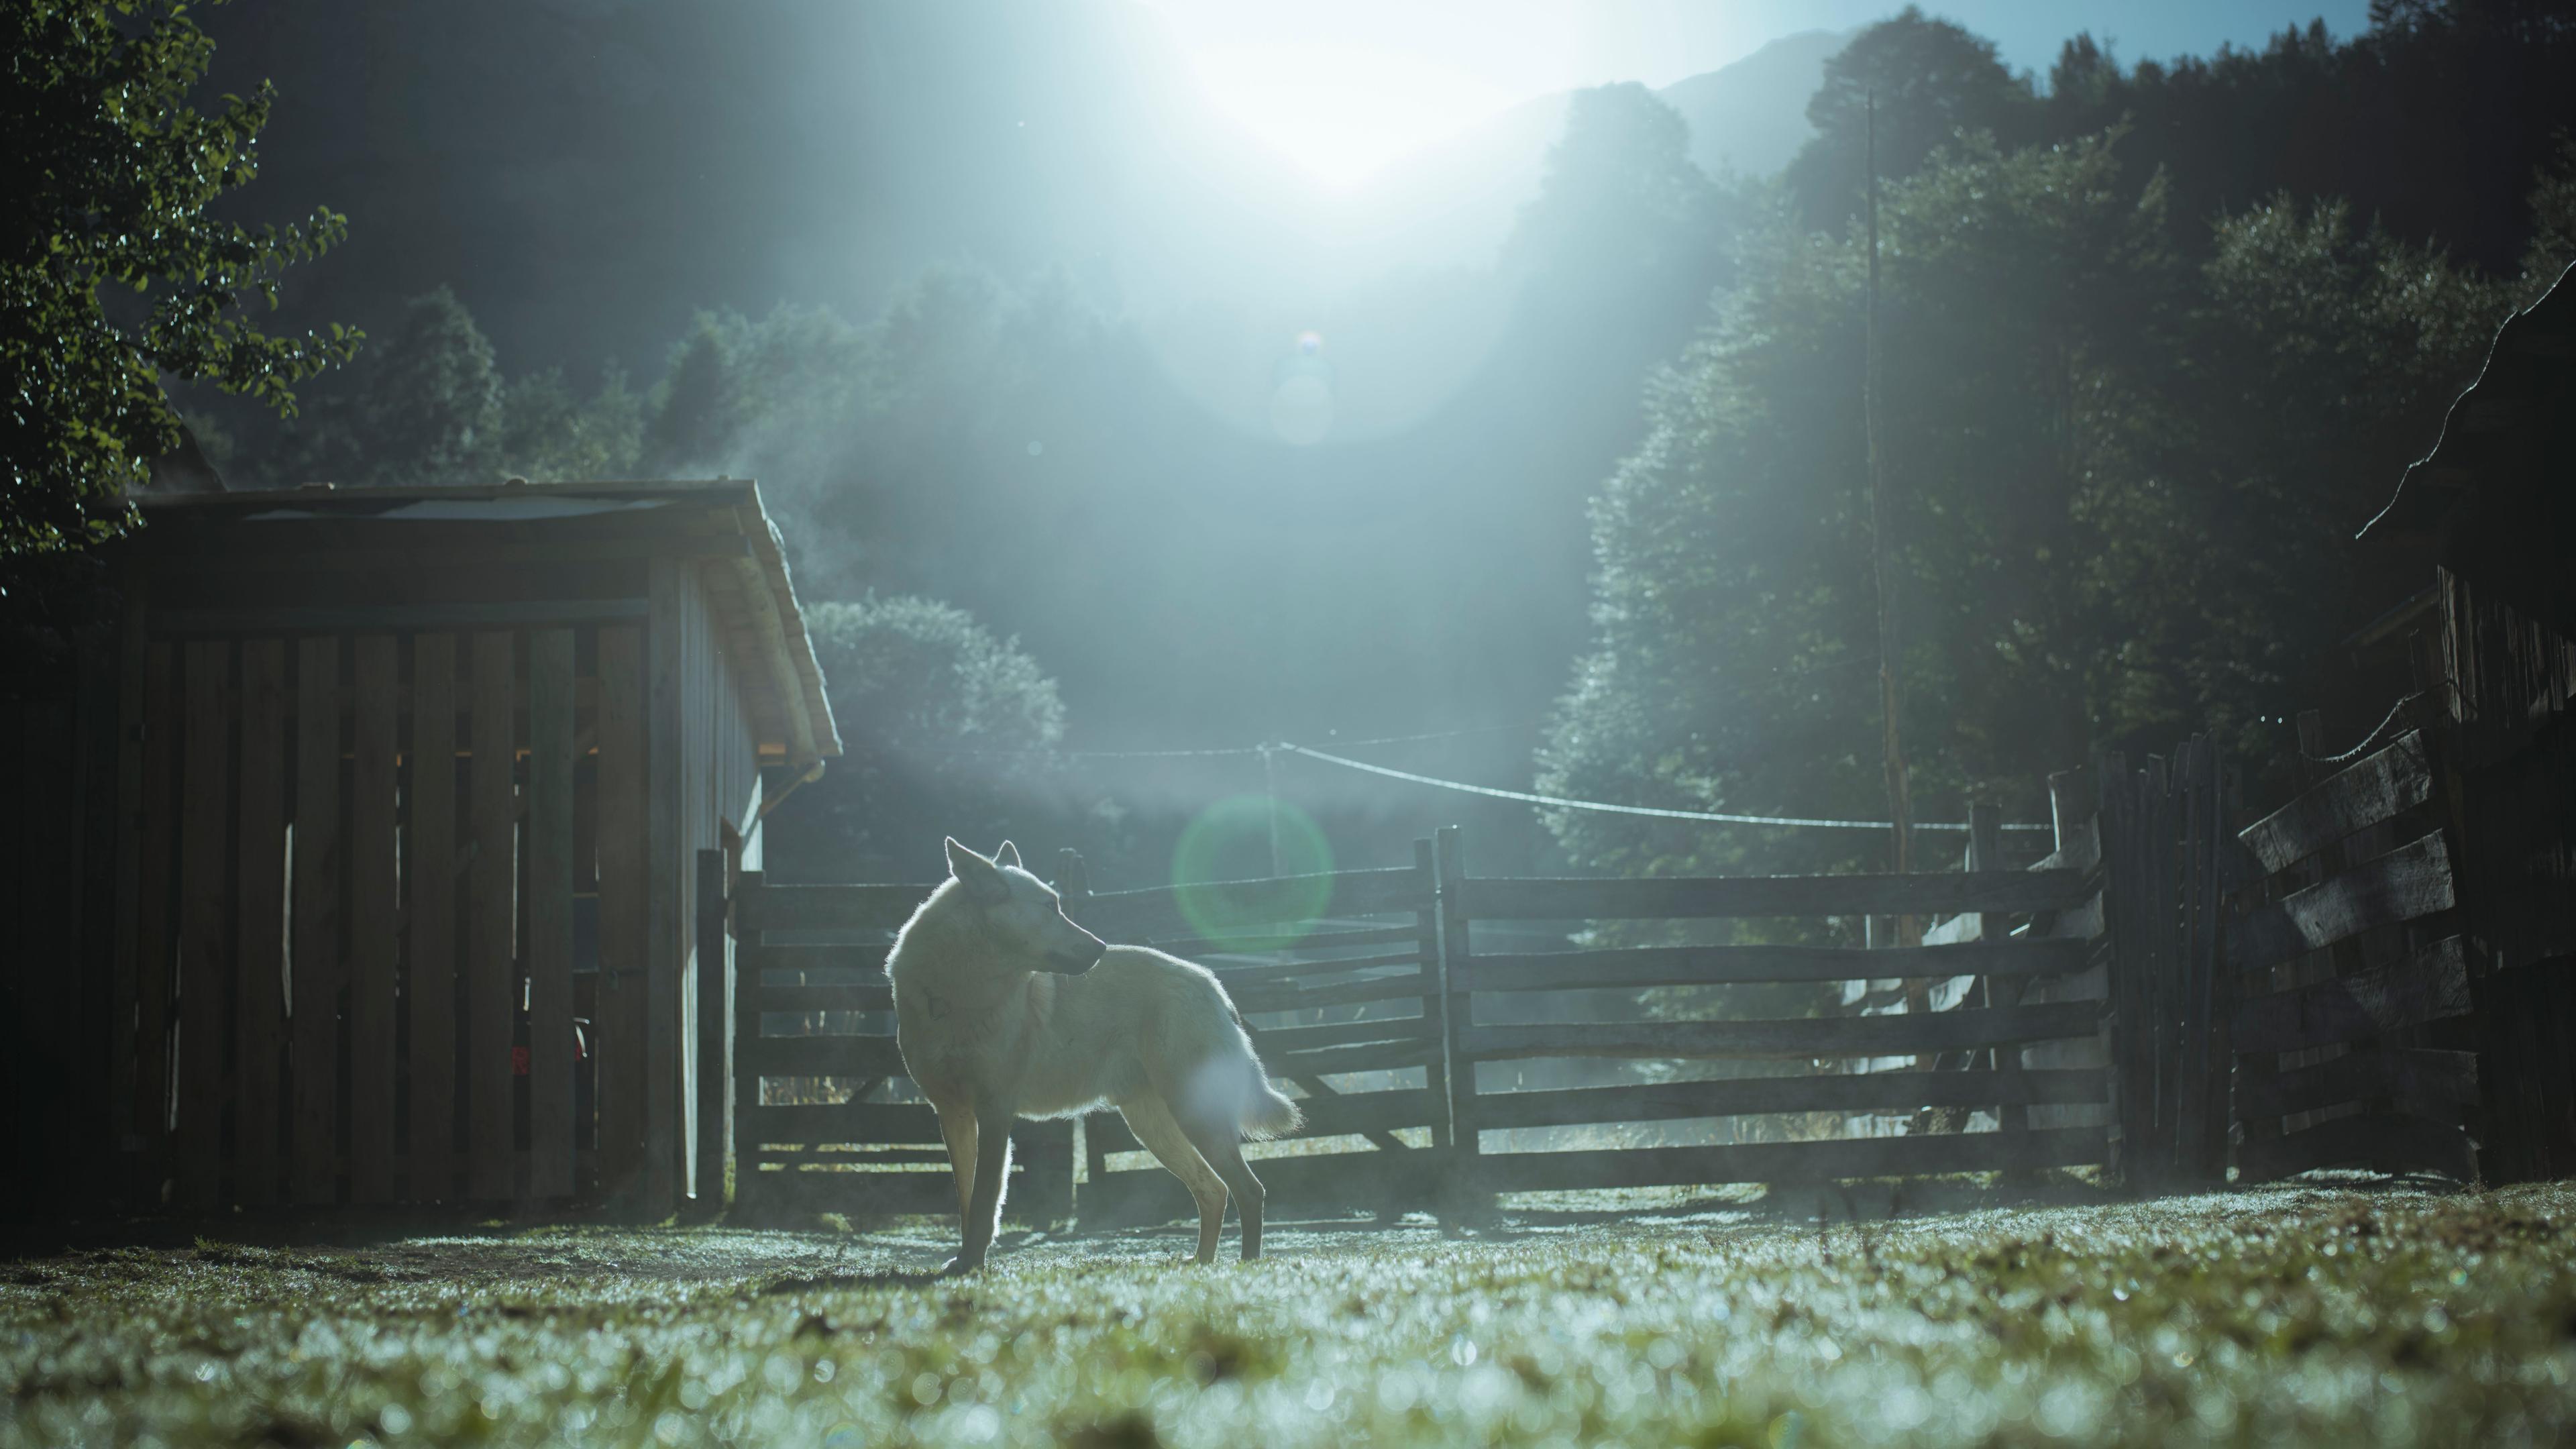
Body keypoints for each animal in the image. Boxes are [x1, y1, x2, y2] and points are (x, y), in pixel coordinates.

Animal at [886, 838, 1304, 1271]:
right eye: (1049, 906)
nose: (1101, 947)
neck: (957, 995)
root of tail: (1210, 983)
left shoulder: (995, 1113)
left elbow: (985, 1203)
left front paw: (972, 1264)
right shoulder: (954, 1115)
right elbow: (967, 1202)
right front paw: (966, 1260)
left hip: (1193, 1116)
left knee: (1249, 1190)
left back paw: (1247, 1265)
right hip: (1154, 1127)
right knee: (1214, 1190)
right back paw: (1202, 1263)